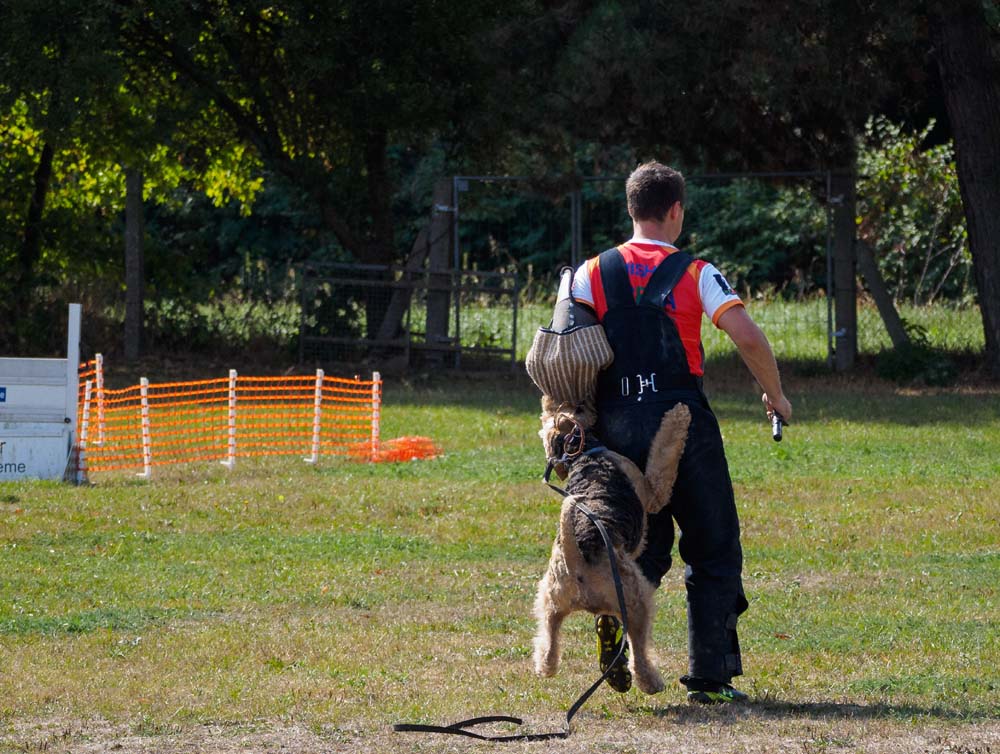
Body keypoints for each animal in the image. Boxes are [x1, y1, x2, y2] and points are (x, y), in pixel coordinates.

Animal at [532, 400, 688, 692]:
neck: (583, 454)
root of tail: (577, 559)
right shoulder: (653, 493)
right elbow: (663, 454)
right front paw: (679, 415)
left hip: (552, 598)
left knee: (548, 637)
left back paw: (546, 667)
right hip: (636, 599)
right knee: (639, 649)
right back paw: (650, 682)